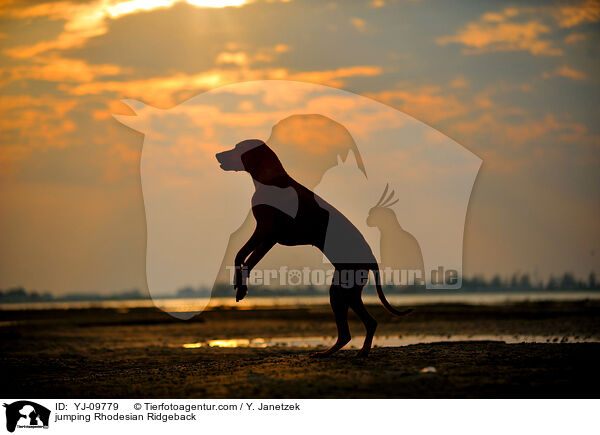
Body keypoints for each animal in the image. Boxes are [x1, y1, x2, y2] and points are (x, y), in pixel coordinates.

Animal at [217, 140, 412, 358]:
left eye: (237, 148)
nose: (217, 155)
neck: (269, 179)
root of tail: (371, 257)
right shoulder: (267, 237)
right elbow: (246, 259)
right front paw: (241, 285)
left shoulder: (266, 231)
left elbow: (241, 256)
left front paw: (240, 285)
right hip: (338, 291)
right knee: (345, 334)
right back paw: (327, 353)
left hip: (348, 290)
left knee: (370, 323)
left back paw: (362, 352)